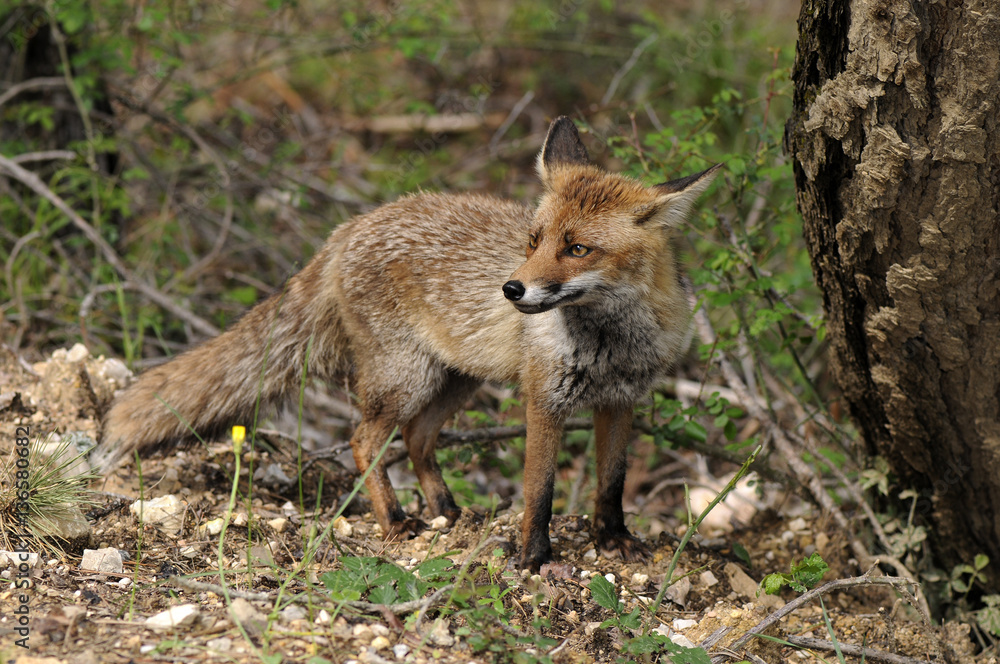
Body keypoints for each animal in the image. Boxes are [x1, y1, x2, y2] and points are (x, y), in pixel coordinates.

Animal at [95, 115, 720, 572]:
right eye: (534, 240)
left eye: (578, 249)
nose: (512, 289)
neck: (610, 340)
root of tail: (350, 227)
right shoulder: (544, 399)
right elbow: (538, 491)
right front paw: (531, 558)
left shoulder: (623, 400)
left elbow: (611, 484)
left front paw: (615, 542)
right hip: (406, 379)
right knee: (363, 439)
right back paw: (396, 520)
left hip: (456, 380)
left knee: (417, 439)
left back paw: (446, 511)